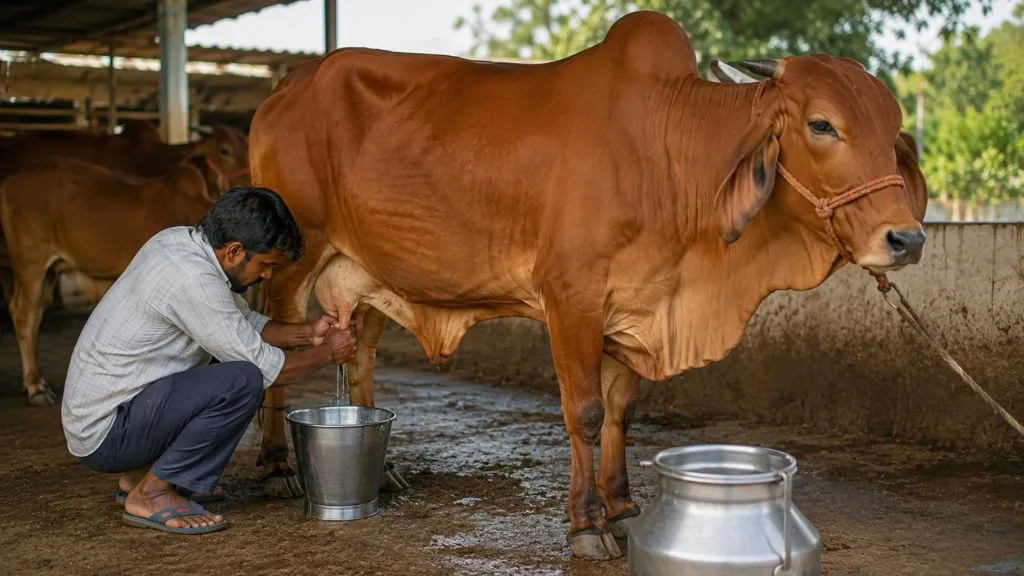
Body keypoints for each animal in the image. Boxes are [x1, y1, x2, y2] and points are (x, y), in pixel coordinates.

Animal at [0, 125, 250, 406]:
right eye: (225, 150)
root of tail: (11, 181)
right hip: (31, 266)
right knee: (25, 314)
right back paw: (36, 386)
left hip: (50, 271)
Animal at [247, 11, 928, 560]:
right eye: (822, 124)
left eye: (892, 123)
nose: (908, 239)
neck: (668, 155)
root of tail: (289, 85)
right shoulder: (570, 297)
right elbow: (587, 411)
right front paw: (586, 525)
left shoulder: (636, 304)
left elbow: (623, 409)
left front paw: (622, 507)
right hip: (295, 259)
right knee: (273, 346)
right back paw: (276, 467)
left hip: (367, 271)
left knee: (359, 357)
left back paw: (381, 468)